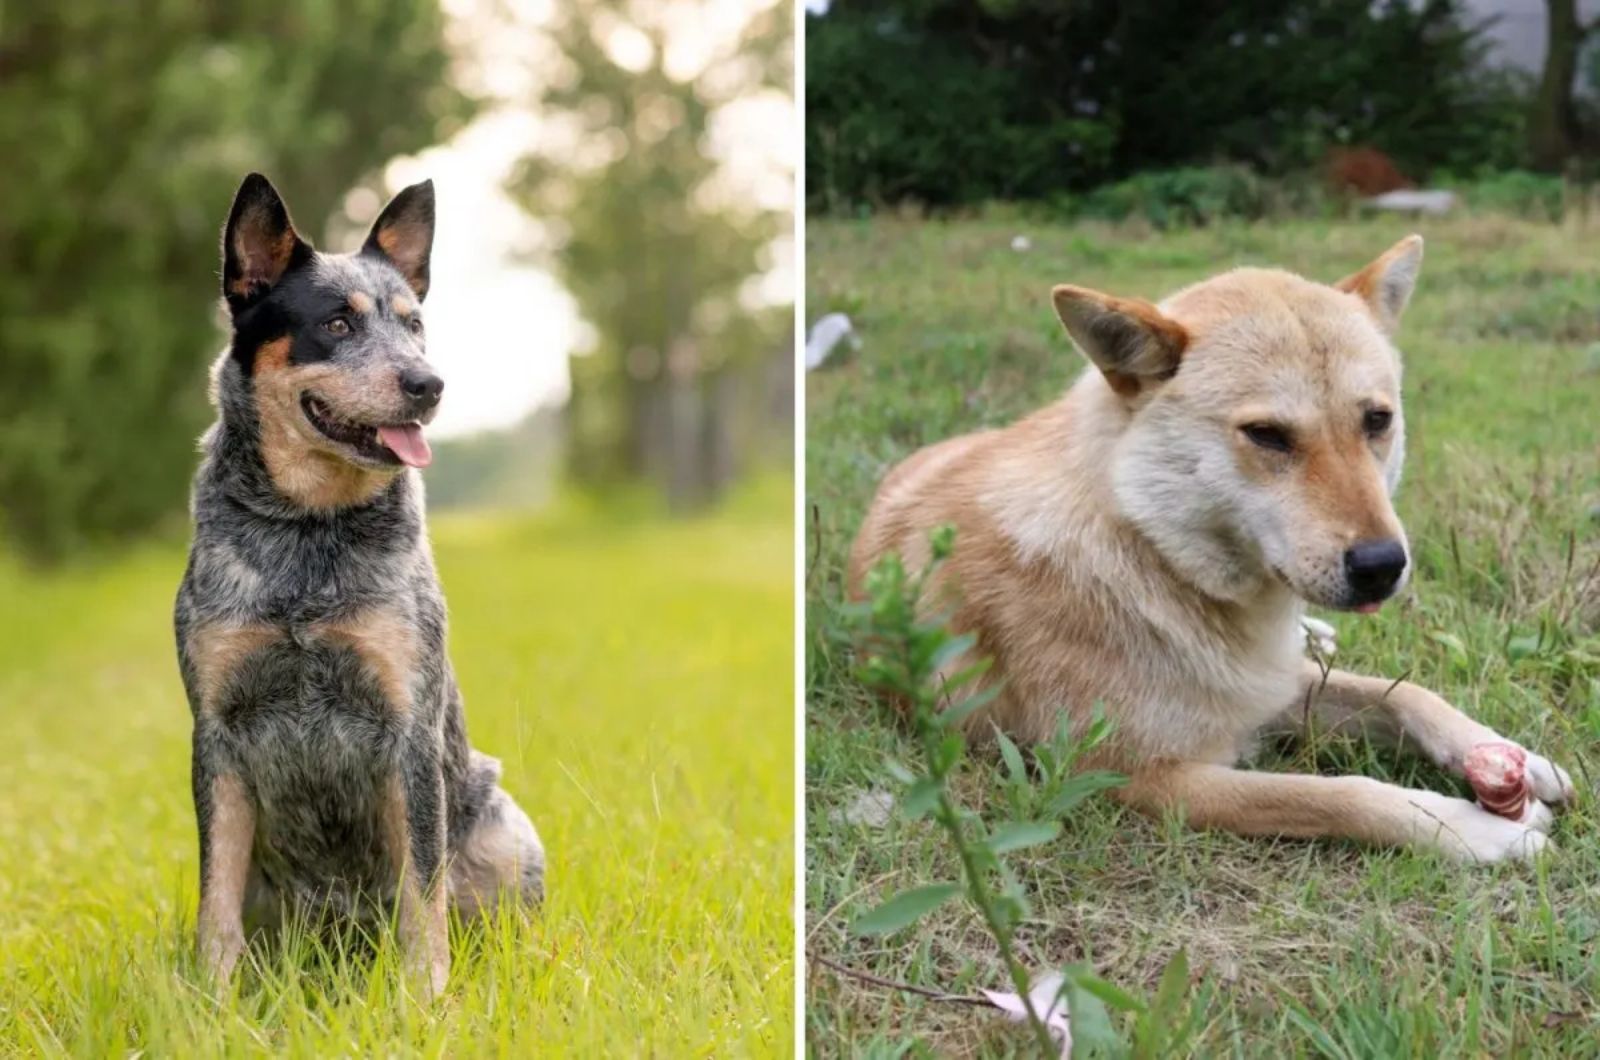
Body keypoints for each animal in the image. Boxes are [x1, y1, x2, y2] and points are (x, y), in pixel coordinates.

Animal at [177, 172, 544, 999]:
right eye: (338, 323)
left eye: (414, 325)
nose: (428, 383)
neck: (307, 532)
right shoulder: (217, 732)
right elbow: (216, 897)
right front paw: (211, 1000)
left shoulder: (406, 728)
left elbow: (423, 891)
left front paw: (427, 998)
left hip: (505, 820)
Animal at [851, 235, 1574, 864]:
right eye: (1268, 435)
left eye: (1378, 421)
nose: (1382, 568)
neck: (1154, 557)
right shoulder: (1143, 776)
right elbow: (1340, 796)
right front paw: (1476, 830)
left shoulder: (1265, 684)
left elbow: (1405, 695)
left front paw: (1507, 751)